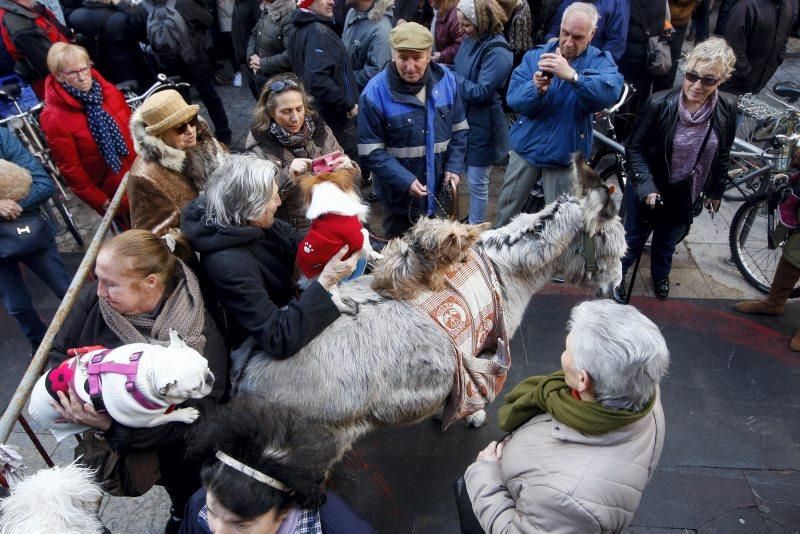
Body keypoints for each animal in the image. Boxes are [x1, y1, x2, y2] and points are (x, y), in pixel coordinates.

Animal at [30, 332, 214, 442]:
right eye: (196, 387)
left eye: (207, 364)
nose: (210, 379)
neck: (142, 372)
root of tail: (31, 408)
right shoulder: (144, 421)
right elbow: (167, 417)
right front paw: (185, 414)